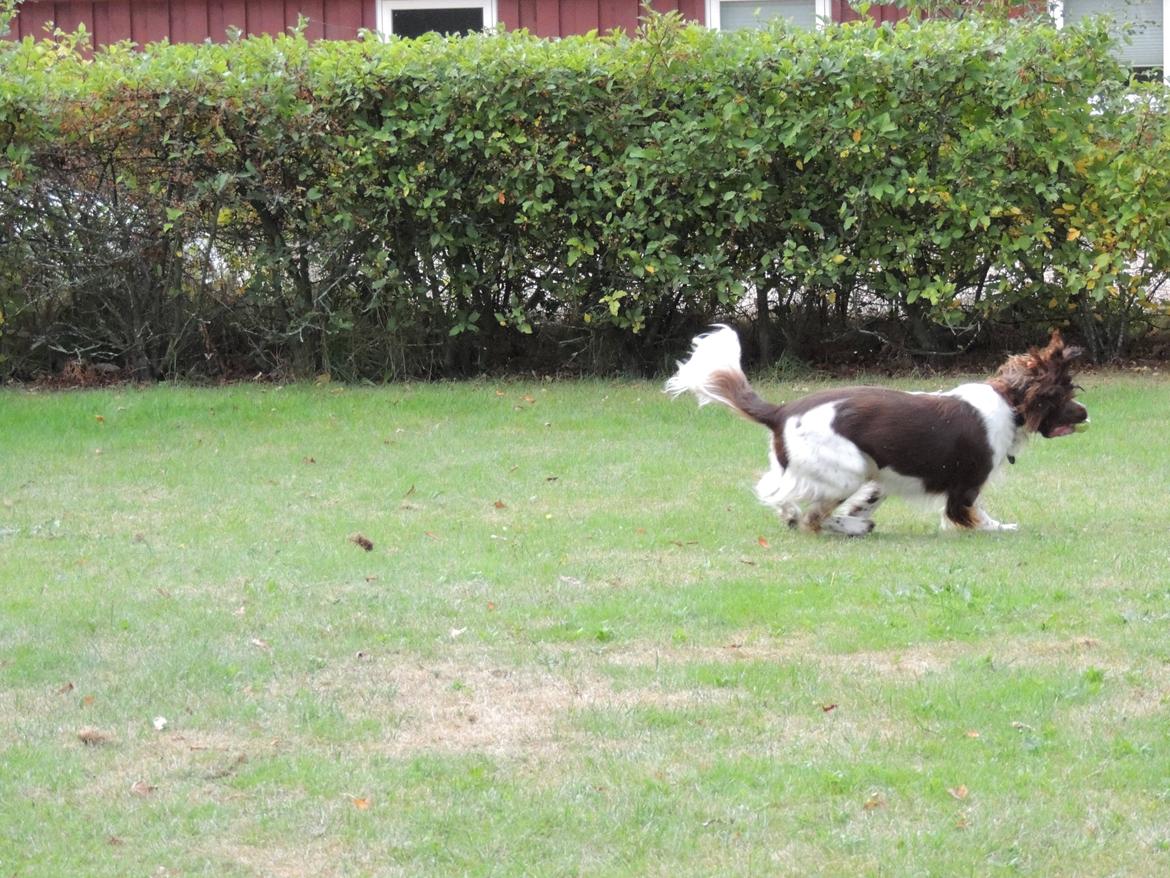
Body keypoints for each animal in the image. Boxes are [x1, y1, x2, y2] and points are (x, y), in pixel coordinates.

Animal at [669, 327, 1085, 536]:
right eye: (1064, 393)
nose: (1085, 414)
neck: (1009, 403)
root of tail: (782, 410)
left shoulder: (883, 474)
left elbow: (870, 496)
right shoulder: (966, 485)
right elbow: (973, 515)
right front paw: (1000, 527)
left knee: (782, 497)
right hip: (847, 468)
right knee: (812, 517)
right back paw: (851, 527)